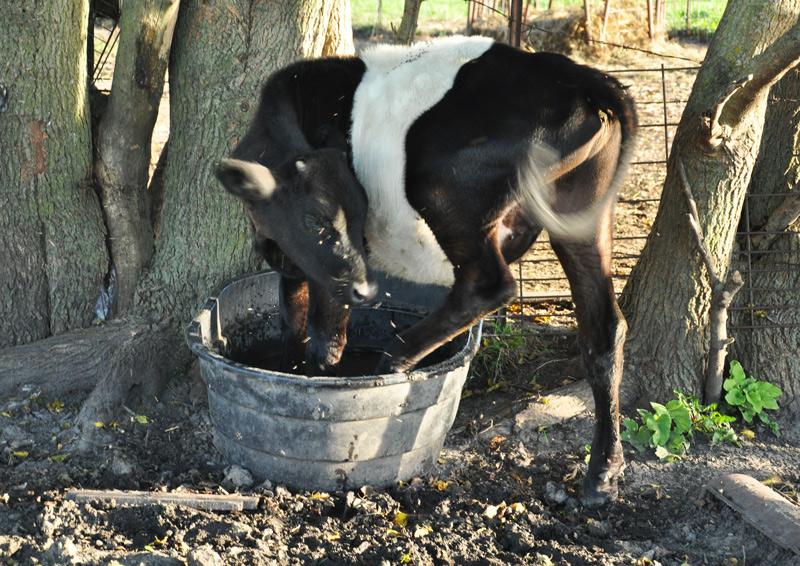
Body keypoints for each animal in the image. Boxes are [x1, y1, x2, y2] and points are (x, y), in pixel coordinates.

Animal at [215, 36, 637, 506]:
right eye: (314, 221)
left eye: (359, 216)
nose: (366, 290)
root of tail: (584, 79)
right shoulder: (296, 259)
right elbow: (292, 320)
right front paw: (289, 369)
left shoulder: (334, 272)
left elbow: (325, 339)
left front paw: (319, 387)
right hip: (583, 211)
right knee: (603, 329)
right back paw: (602, 473)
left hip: (447, 189)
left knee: (488, 284)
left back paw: (394, 360)